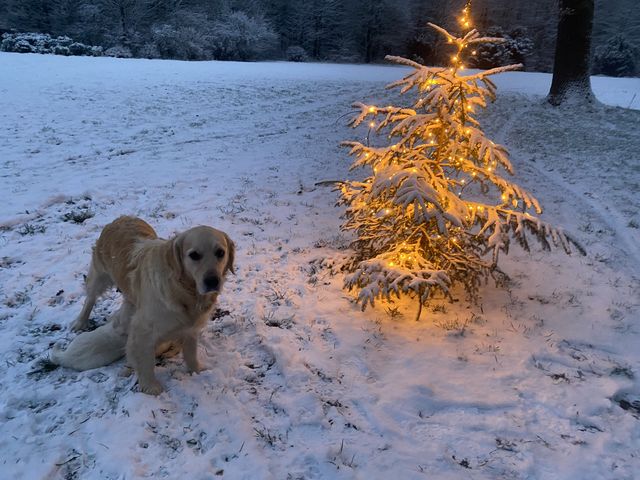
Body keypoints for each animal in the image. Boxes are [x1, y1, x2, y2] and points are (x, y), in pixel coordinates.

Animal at [50, 216, 235, 395]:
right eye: (194, 255)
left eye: (220, 253)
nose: (212, 281)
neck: (183, 291)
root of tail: (120, 218)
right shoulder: (143, 329)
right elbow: (145, 360)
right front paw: (151, 387)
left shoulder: (190, 327)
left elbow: (190, 353)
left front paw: (196, 372)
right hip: (99, 275)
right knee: (90, 298)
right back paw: (80, 322)